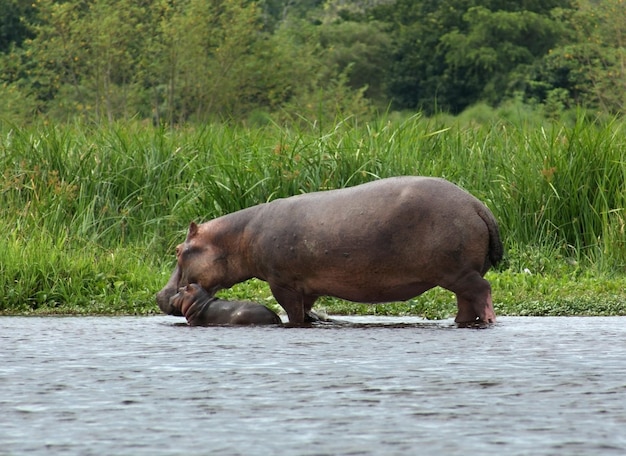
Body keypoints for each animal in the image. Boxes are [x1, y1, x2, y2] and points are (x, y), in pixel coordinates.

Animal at [156, 176, 502, 326]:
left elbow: (293, 314)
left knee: (482, 291)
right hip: (458, 275)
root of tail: (478, 204)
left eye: (179, 250)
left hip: (458, 272)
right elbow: (307, 309)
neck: (236, 238)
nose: (161, 294)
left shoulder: (282, 283)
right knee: (466, 302)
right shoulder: (307, 286)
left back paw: (488, 321)